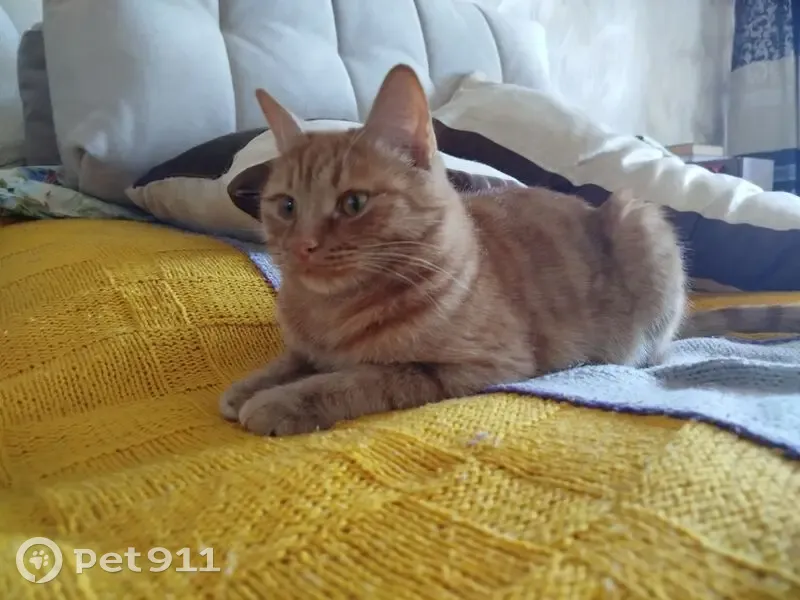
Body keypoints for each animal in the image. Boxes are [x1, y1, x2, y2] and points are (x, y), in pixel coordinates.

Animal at [219, 64, 688, 437]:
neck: (332, 313)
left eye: (353, 203)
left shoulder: (471, 367)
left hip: (641, 223)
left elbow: (356, 379)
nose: (303, 246)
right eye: (287, 206)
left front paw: (280, 402)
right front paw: (247, 388)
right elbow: (289, 363)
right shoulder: (306, 349)